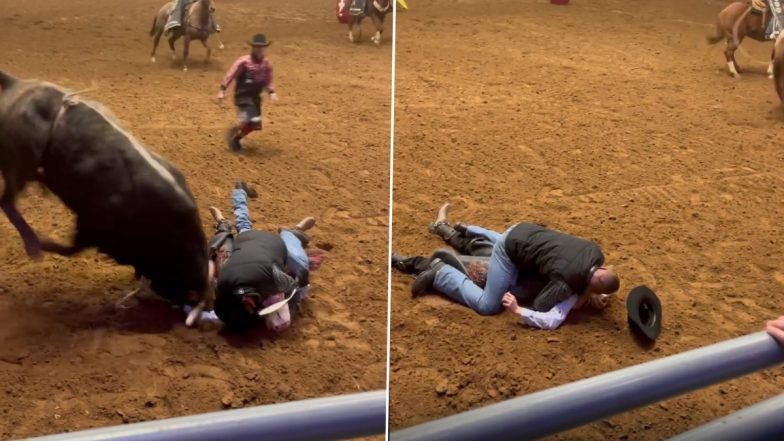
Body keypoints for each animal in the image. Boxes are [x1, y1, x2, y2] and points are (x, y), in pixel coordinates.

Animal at [0, 71, 208, 310]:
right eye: (178, 279)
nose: (183, 300)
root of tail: (16, 83)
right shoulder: (92, 224)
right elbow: (73, 248)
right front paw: (43, 243)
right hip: (18, 166)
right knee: (6, 201)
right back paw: (32, 243)